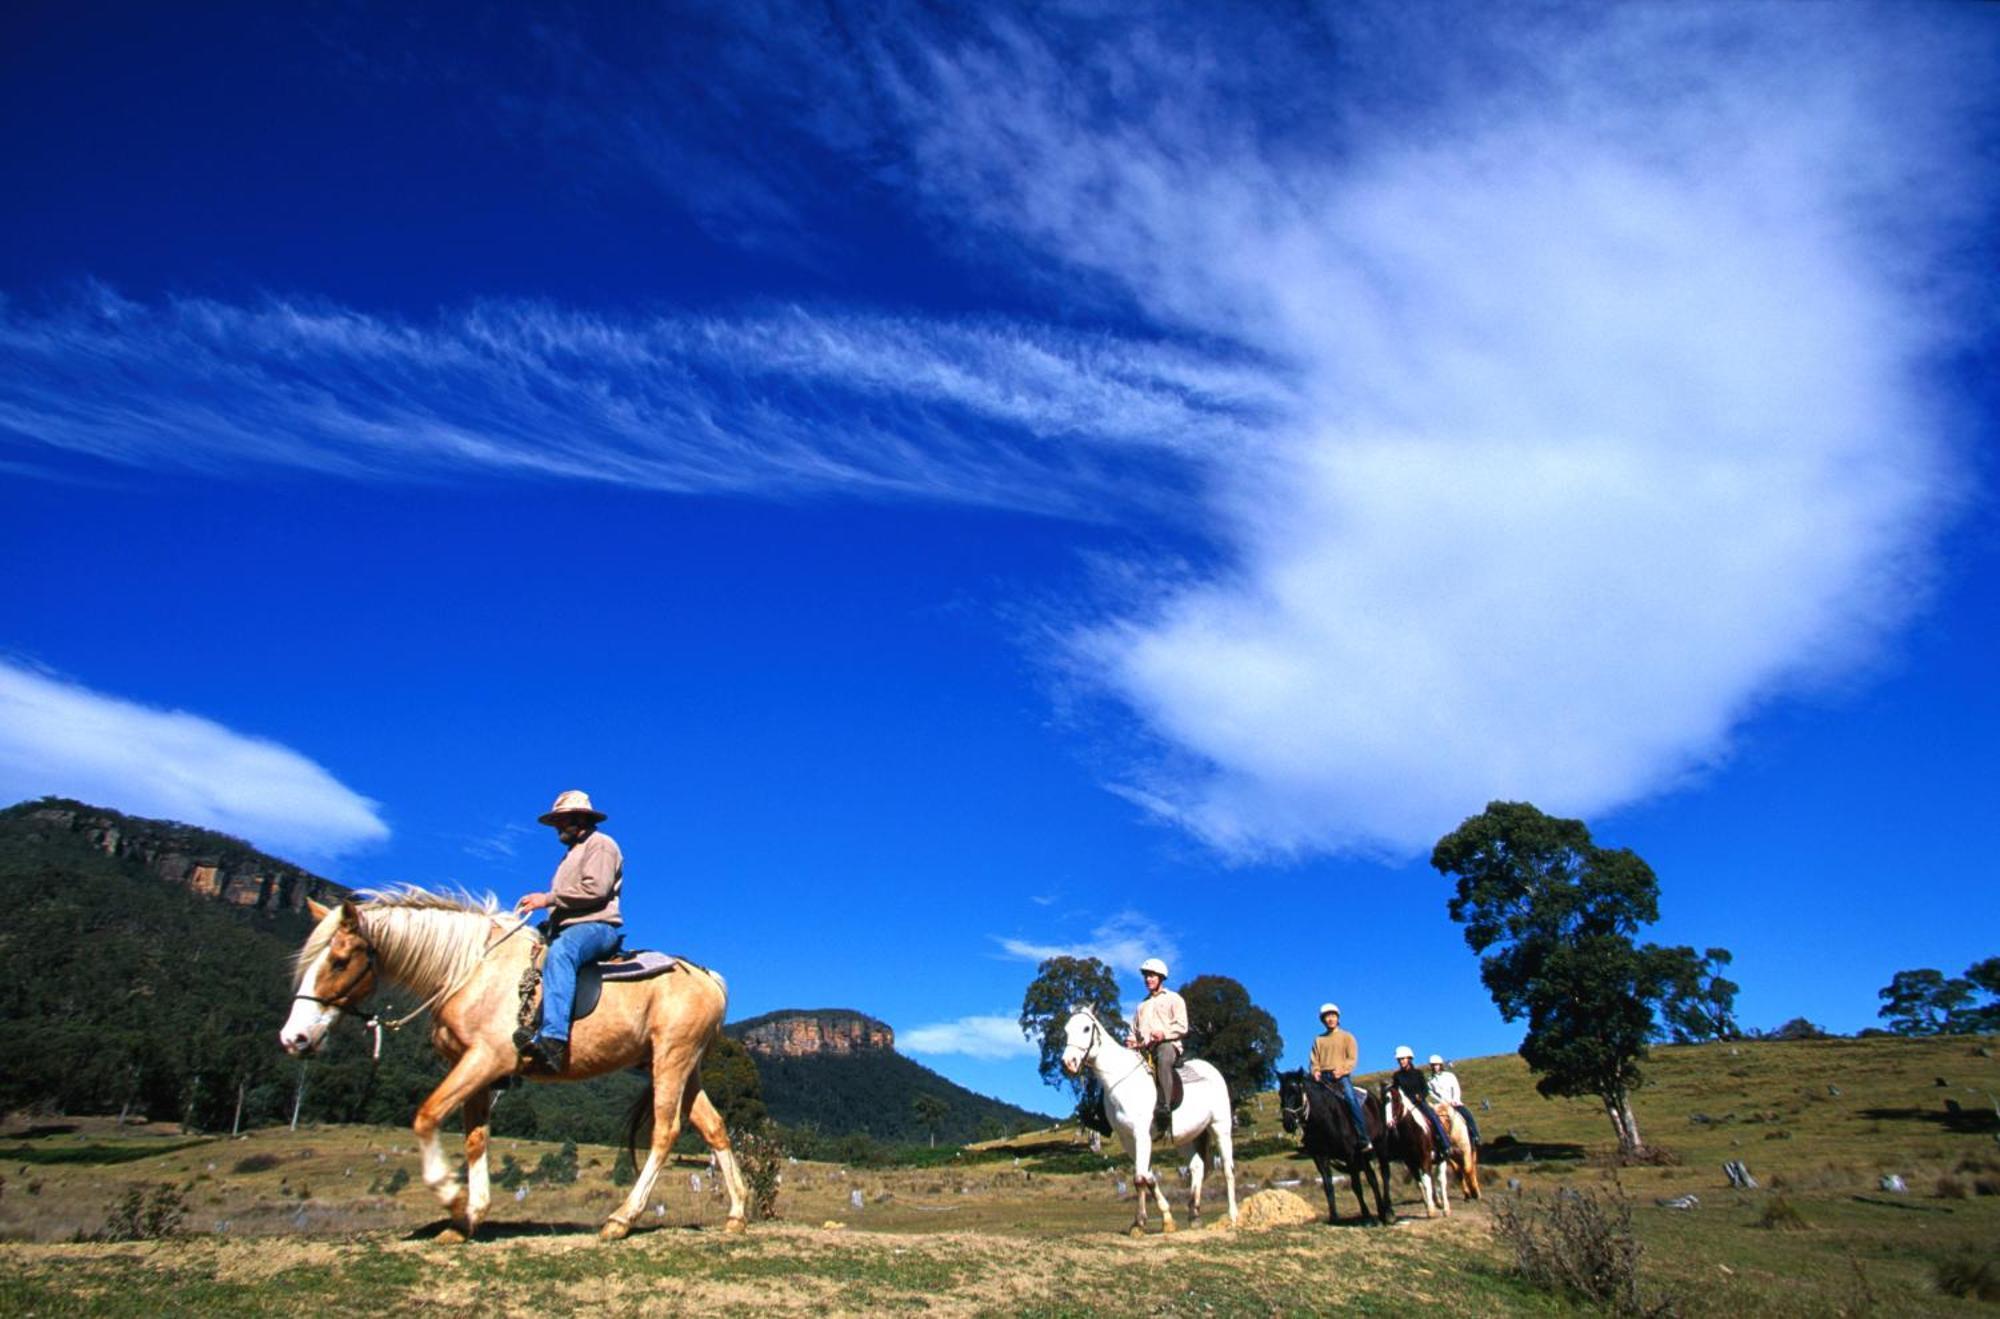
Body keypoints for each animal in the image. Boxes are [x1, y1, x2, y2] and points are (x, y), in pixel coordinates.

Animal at [278, 891, 748, 1239]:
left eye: (339, 960)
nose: (293, 1038)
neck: (469, 970)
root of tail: (709, 978)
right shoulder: (474, 1068)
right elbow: (475, 1138)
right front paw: (469, 1217)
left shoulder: (486, 1059)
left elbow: (426, 1116)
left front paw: (451, 1196)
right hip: (684, 1067)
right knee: (714, 1128)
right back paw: (737, 1213)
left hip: (671, 1060)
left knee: (665, 1133)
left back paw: (621, 1219)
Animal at [1064, 1011, 1232, 1239]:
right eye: (1066, 1029)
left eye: (1086, 1028)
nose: (1068, 1062)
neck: (1123, 1080)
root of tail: (1213, 1070)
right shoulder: (1128, 1140)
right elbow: (1148, 1178)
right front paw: (1166, 1219)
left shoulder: (1141, 1135)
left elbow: (1139, 1179)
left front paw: (1139, 1223)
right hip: (1186, 1137)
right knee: (1197, 1167)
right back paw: (1194, 1215)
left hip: (1220, 1127)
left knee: (1228, 1169)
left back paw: (1233, 1217)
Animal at [1280, 1071, 1392, 1223]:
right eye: (1280, 1093)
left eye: (1296, 1092)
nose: (1288, 1123)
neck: (1325, 1118)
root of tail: (1374, 1099)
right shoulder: (1320, 1157)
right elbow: (1328, 1186)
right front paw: (1333, 1217)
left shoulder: (1350, 1154)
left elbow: (1356, 1186)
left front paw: (1367, 1216)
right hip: (1363, 1155)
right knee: (1372, 1178)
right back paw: (1381, 1212)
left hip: (1380, 1145)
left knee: (1385, 1174)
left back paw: (1389, 1212)